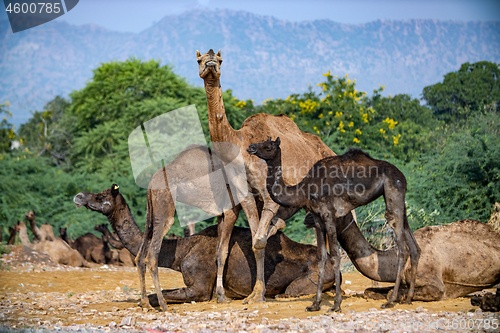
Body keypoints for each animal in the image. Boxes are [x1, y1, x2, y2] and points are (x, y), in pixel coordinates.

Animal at [72, 184, 338, 304]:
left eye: (101, 196)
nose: (79, 196)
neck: (181, 252)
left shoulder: (199, 288)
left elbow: (156, 296)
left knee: (290, 291)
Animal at [195, 48, 344, 304]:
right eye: (199, 59)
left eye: (221, 59)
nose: (211, 59)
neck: (239, 145)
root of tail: (328, 149)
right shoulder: (242, 196)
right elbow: (244, 243)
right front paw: (244, 293)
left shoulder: (268, 194)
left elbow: (258, 240)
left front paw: (257, 294)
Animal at [248, 136, 420, 310]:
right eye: (262, 142)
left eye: (268, 146)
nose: (251, 147)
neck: (304, 188)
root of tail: (401, 175)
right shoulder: (317, 219)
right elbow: (321, 257)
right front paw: (315, 304)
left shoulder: (328, 214)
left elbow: (336, 256)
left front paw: (336, 304)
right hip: (399, 202)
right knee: (414, 247)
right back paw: (408, 298)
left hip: (392, 193)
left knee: (402, 247)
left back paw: (391, 300)